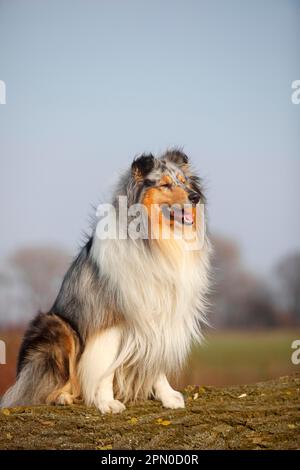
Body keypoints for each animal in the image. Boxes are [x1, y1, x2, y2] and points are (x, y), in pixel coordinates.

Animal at [1, 149, 211, 414]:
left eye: (184, 182)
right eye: (165, 184)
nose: (195, 197)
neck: (156, 242)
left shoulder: (160, 317)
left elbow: (156, 362)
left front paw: (167, 396)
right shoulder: (110, 318)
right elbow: (104, 367)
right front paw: (106, 401)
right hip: (58, 326)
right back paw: (63, 396)